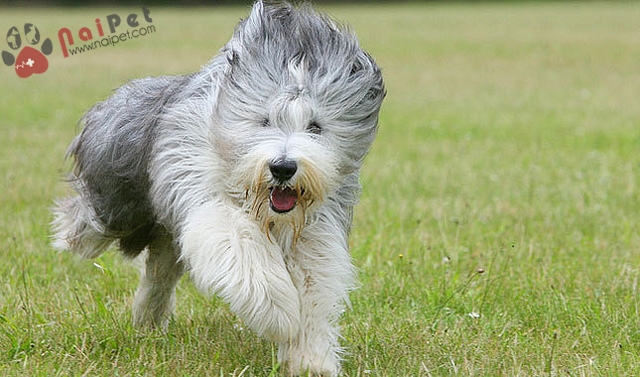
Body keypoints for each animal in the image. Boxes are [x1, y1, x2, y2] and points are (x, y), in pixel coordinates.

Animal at [50, 2, 384, 374]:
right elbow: (236, 239)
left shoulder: (315, 228)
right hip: (116, 202)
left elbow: (314, 283)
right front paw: (279, 312)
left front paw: (311, 359)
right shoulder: (199, 185)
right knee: (92, 223)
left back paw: (147, 321)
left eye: (316, 127)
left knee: (159, 272)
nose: (283, 167)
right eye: (264, 120)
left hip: (165, 235)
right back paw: (69, 235)